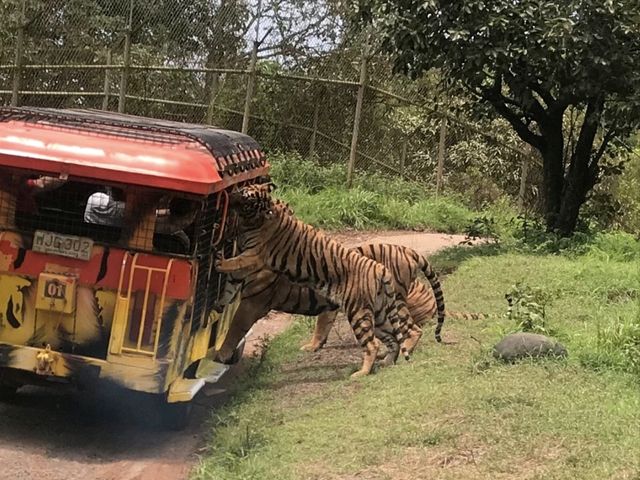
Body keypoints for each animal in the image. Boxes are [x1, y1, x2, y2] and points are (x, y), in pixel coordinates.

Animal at [214, 182, 416, 376]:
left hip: (360, 311)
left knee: (383, 340)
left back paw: (362, 373)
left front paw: (222, 355)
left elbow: (234, 329)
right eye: (243, 191)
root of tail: (380, 267)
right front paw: (218, 305)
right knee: (393, 338)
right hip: (379, 313)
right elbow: (229, 286)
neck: (252, 224)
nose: (230, 195)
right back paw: (387, 362)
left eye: (248, 200)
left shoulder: (253, 288)